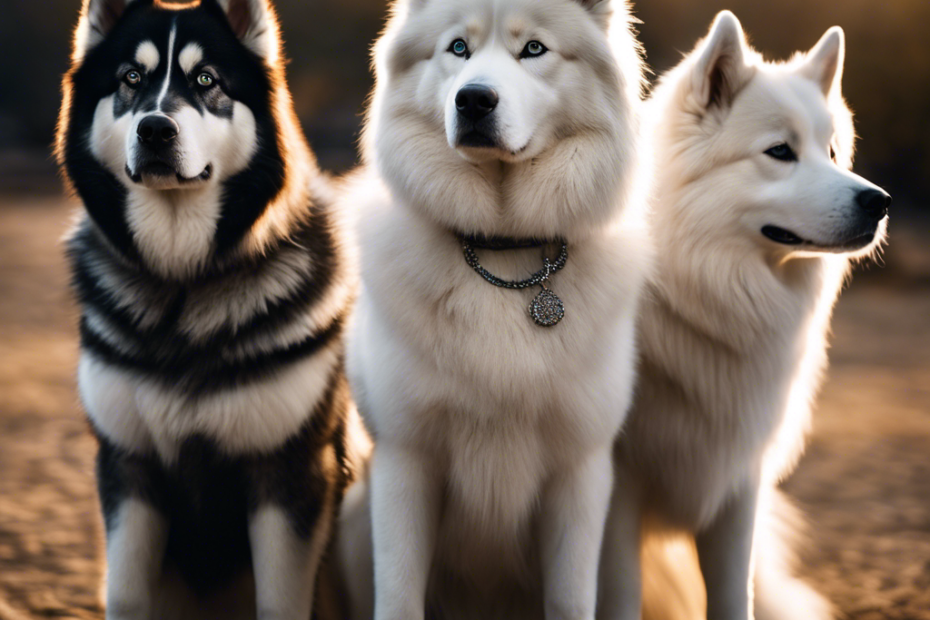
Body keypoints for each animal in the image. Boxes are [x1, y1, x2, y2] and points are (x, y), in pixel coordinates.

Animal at [600, 12, 888, 620]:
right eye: (780, 151)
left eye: (831, 152)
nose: (879, 202)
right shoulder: (615, 489)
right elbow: (621, 594)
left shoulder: (737, 483)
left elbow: (734, 595)